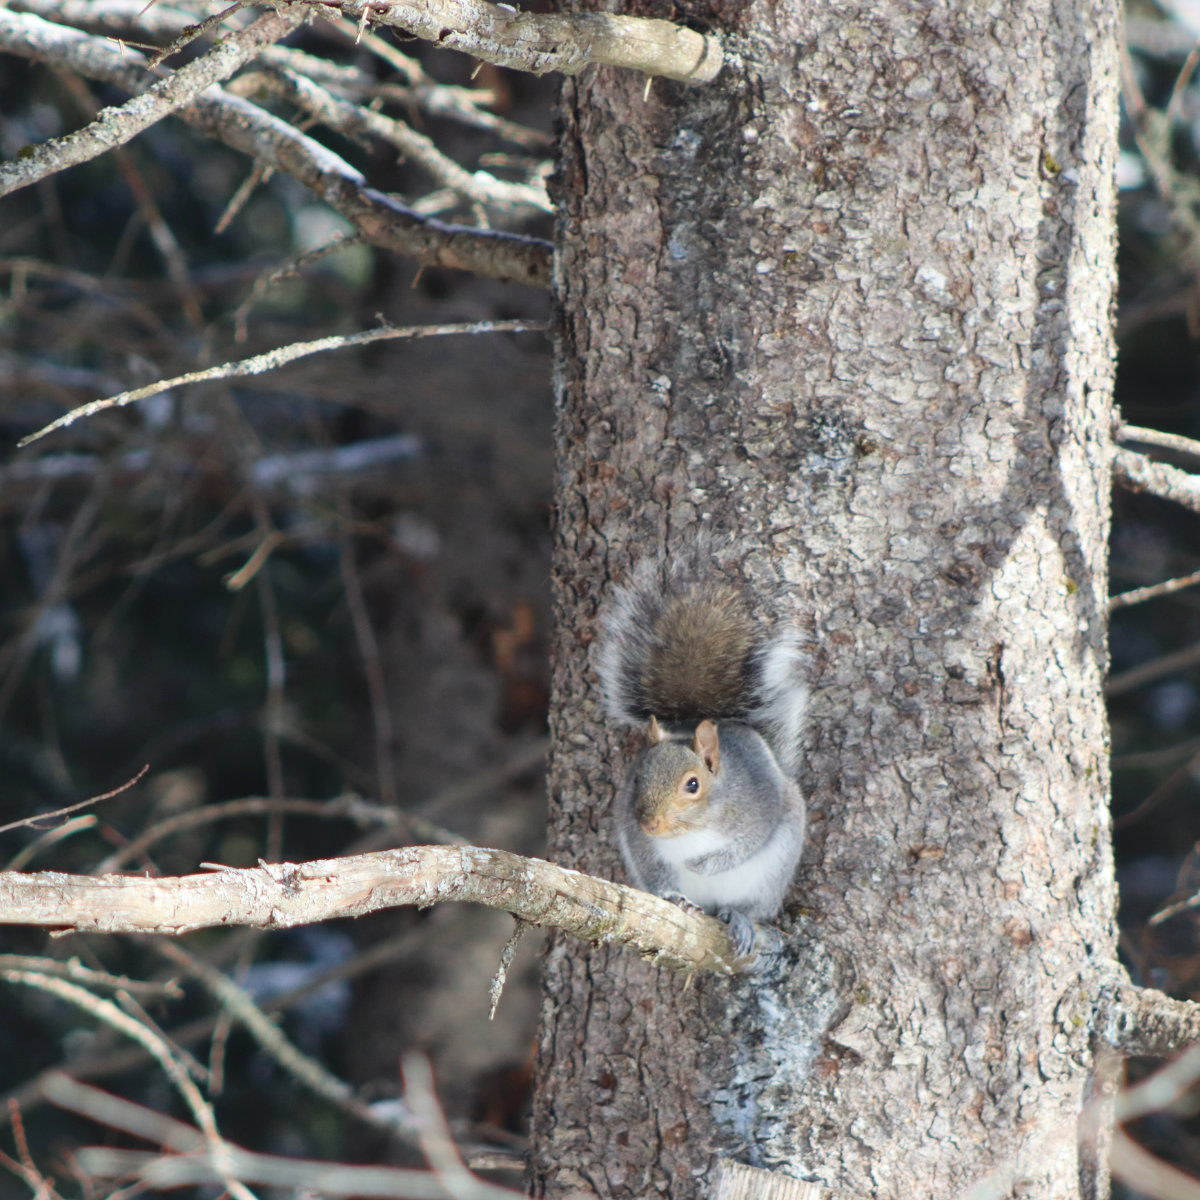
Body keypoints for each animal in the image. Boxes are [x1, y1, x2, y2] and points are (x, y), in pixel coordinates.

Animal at [597, 556, 806, 960]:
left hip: (770, 877)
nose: (650, 824)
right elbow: (652, 866)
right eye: (637, 778)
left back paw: (739, 918)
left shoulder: (758, 808)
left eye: (692, 785)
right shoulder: (636, 838)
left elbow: (744, 845)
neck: (691, 830)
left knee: (747, 906)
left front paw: (702, 864)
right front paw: (671, 893)